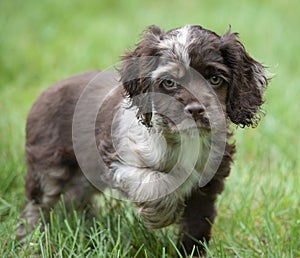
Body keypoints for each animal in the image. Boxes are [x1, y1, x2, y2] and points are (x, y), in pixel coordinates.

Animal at [18, 25, 268, 255]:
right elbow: (158, 182)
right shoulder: (120, 161)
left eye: (215, 78)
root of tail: (47, 90)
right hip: (49, 166)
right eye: (169, 82)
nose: (196, 110)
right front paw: (163, 215)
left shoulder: (207, 185)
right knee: (37, 205)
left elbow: (196, 227)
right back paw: (31, 242)